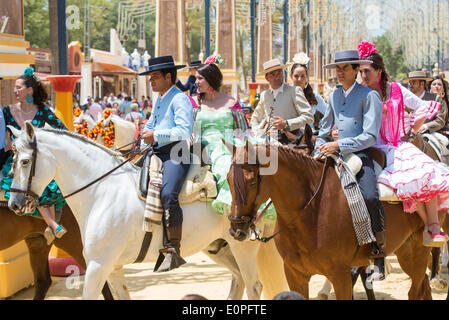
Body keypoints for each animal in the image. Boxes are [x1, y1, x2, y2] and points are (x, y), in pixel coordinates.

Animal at [7, 122, 288, 300]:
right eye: (12, 159)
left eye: (24, 161)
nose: (14, 204)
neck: (101, 192)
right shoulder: (113, 267)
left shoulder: (98, 265)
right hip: (218, 247)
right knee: (238, 281)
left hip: (243, 246)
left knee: (254, 285)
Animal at [224, 141, 444, 298]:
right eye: (227, 179)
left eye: (252, 182)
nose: (236, 229)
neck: (311, 212)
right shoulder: (295, 274)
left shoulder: (340, 275)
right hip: (406, 250)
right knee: (423, 286)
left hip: (417, 250)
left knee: (417, 290)